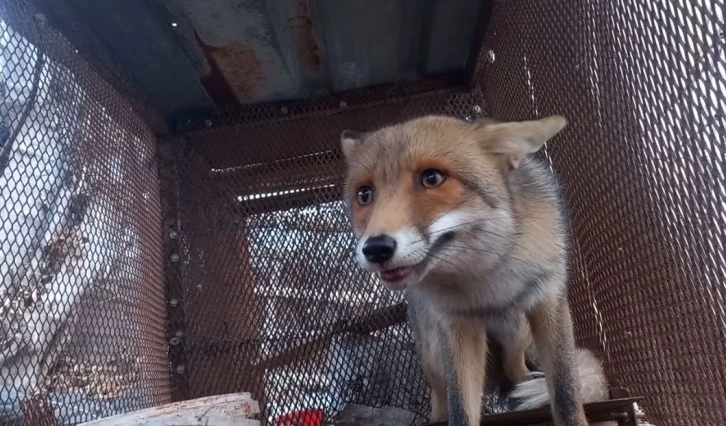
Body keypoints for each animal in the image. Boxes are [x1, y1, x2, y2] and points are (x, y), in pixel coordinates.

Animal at [340, 114, 608, 426]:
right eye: (365, 195)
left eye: (432, 178)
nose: (376, 249)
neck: (486, 280)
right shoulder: (456, 324)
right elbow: (460, 409)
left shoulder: (548, 299)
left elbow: (566, 393)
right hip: (433, 352)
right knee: (440, 394)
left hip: (518, 331)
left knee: (515, 368)